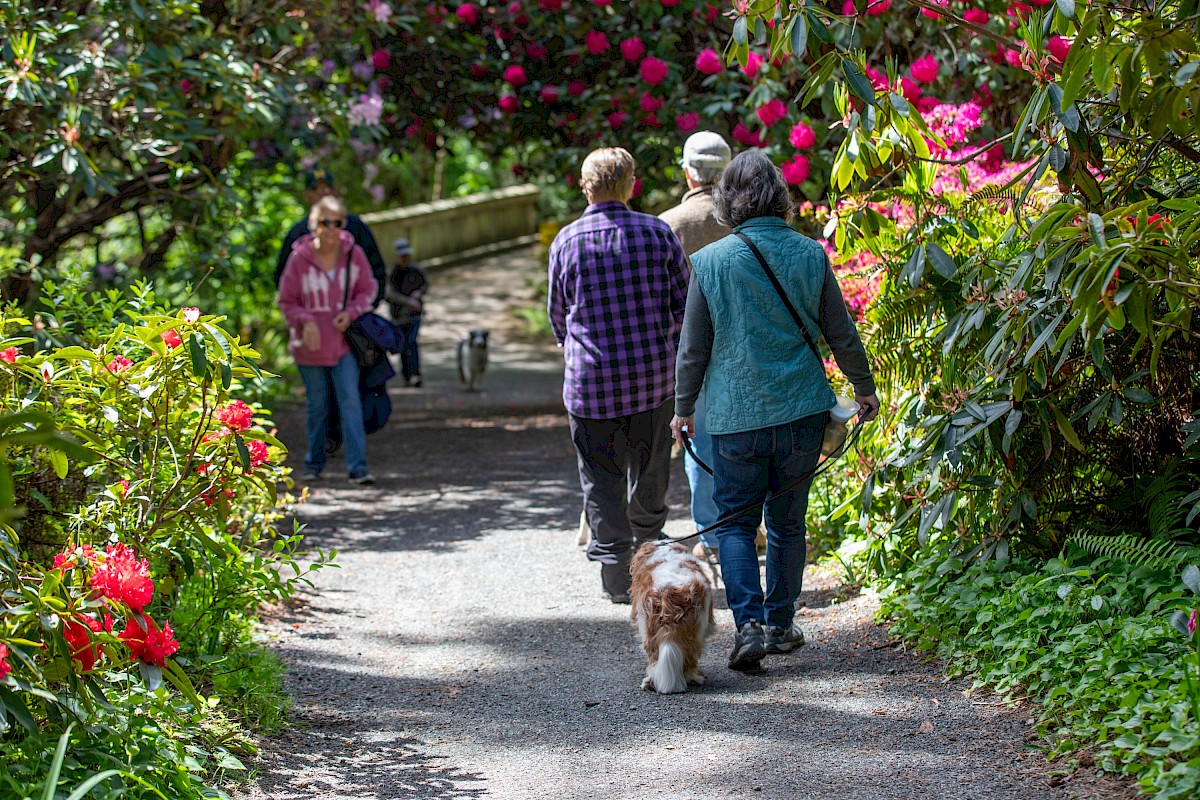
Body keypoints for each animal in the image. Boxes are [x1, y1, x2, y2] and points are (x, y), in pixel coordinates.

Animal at [628, 544, 710, 695]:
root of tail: (669, 591)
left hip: (649, 630)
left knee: (655, 657)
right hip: (695, 631)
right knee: (688, 656)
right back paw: (690, 677)